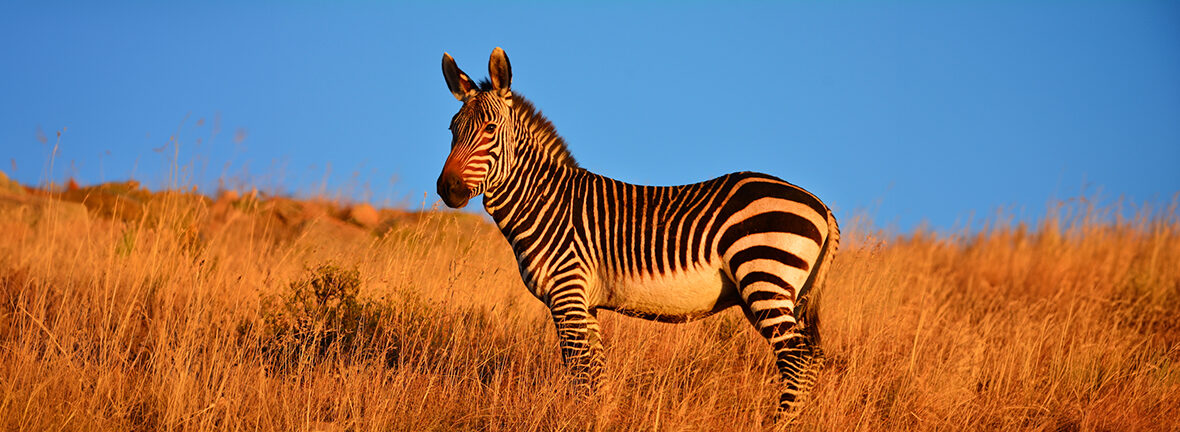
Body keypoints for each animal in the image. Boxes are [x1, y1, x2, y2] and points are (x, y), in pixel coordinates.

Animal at [436, 48, 840, 417]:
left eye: (490, 130)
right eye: (452, 130)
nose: (447, 189)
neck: (545, 200)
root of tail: (822, 206)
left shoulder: (567, 294)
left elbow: (580, 370)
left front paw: (579, 418)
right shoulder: (585, 303)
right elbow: (593, 374)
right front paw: (595, 416)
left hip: (764, 275)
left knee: (796, 359)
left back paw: (781, 422)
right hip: (785, 291)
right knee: (812, 357)